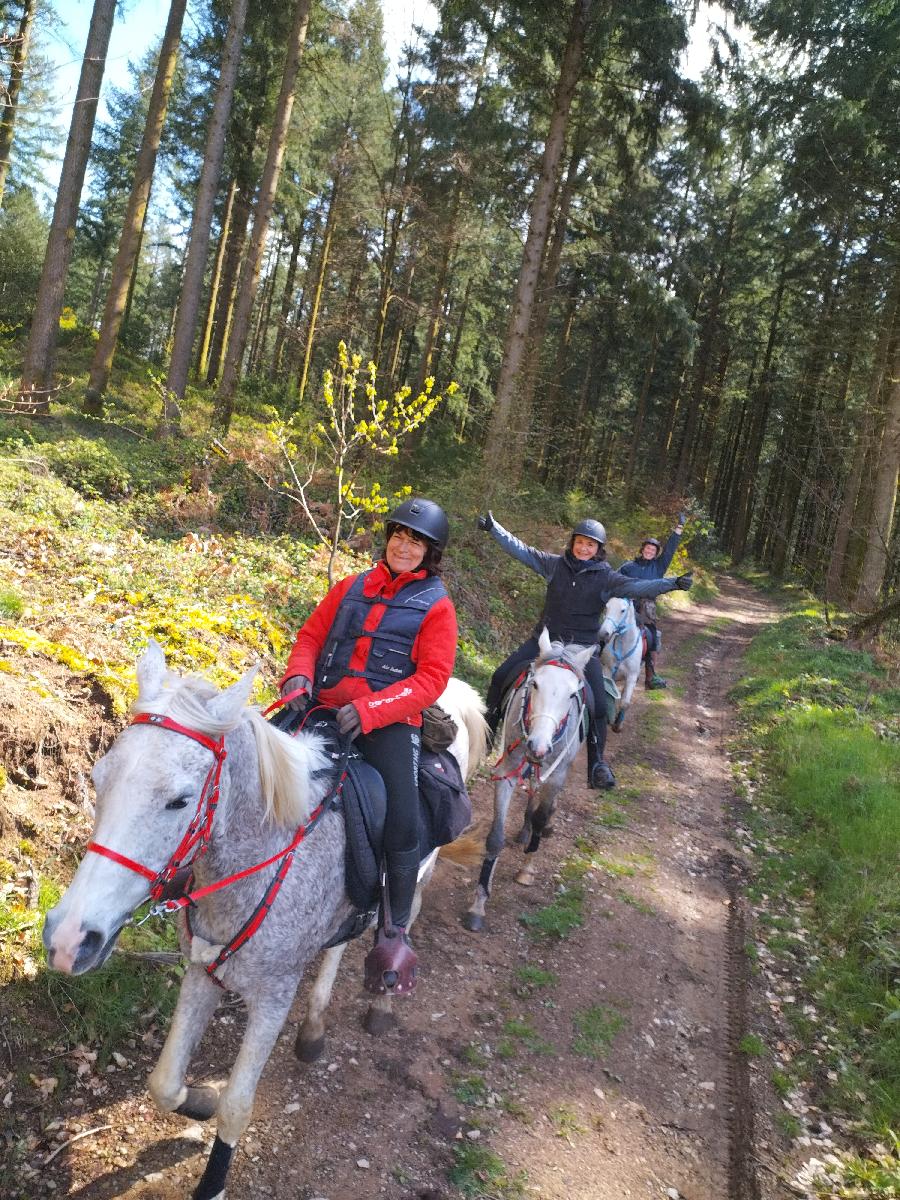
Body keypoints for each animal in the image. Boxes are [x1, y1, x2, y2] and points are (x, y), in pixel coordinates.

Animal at [42, 643, 489, 1200]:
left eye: (179, 800)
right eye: (99, 778)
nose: (69, 939)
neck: (263, 856)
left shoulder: (274, 995)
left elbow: (237, 1106)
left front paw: (213, 1180)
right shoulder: (202, 971)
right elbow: (164, 1083)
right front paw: (201, 1100)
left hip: (417, 866)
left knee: (402, 913)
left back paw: (384, 992)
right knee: (339, 943)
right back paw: (314, 1029)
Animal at [465, 633, 600, 931]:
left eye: (572, 694)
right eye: (535, 684)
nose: (538, 747)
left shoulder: (555, 778)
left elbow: (541, 816)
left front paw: (527, 869)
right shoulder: (507, 772)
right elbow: (496, 836)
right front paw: (478, 905)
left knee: (543, 806)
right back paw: (524, 831)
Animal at [600, 597, 643, 729]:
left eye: (623, 610)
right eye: (607, 607)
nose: (603, 633)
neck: (623, 647)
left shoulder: (632, 676)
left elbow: (625, 703)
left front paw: (618, 724)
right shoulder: (607, 671)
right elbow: (609, 695)